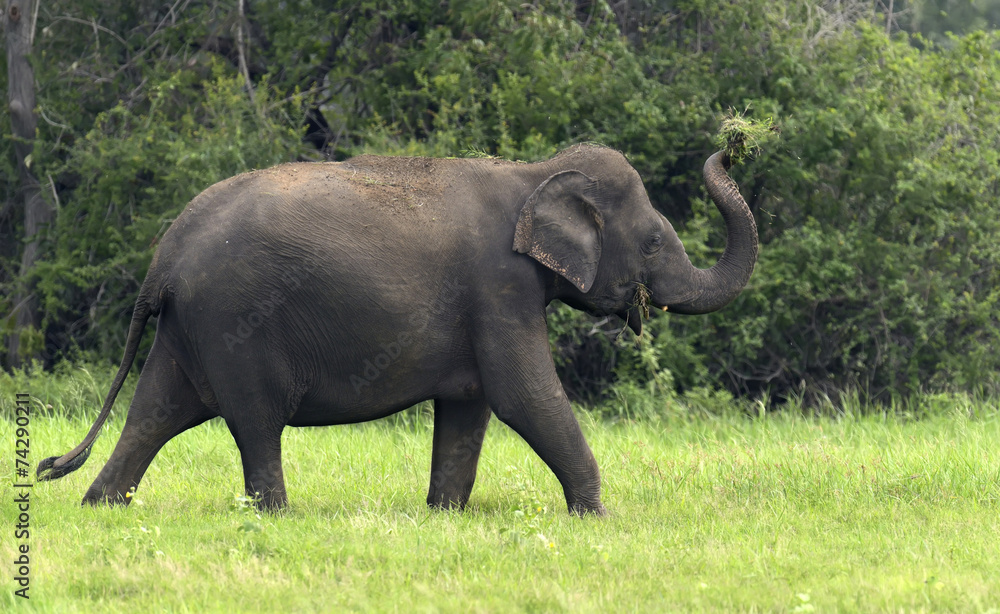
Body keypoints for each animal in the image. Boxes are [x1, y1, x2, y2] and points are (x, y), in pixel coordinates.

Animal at [37, 144, 757, 516]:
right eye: (655, 242)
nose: (729, 145)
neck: (532, 172)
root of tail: (162, 260)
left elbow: (470, 406)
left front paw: (445, 515)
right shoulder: (499, 287)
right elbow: (522, 396)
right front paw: (597, 518)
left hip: (188, 329)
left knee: (154, 412)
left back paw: (101, 507)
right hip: (232, 322)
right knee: (255, 423)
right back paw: (276, 516)